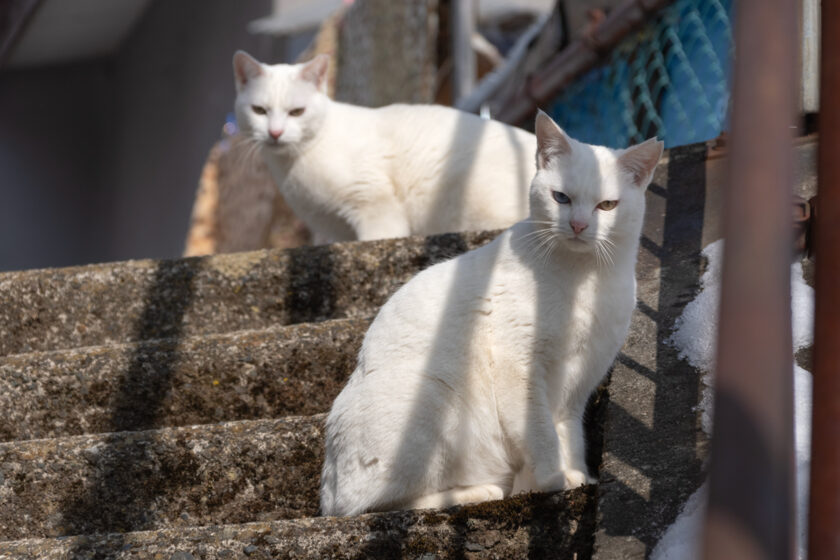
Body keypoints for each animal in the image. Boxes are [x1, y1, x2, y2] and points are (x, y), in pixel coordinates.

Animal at [233, 52, 536, 243]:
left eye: (297, 112)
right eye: (259, 110)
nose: (275, 132)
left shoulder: (375, 206)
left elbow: (377, 235)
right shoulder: (339, 229)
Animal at [318, 111, 660, 520]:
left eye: (607, 205)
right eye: (561, 197)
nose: (578, 225)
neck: (586, 279)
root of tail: (327, 496)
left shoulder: (579, 383)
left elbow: (568, 436)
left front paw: (572, 476)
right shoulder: (519, 367)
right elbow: (542, 435)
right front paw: (554, 479)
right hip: (434, 396)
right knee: (377, 506)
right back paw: (481, 491)